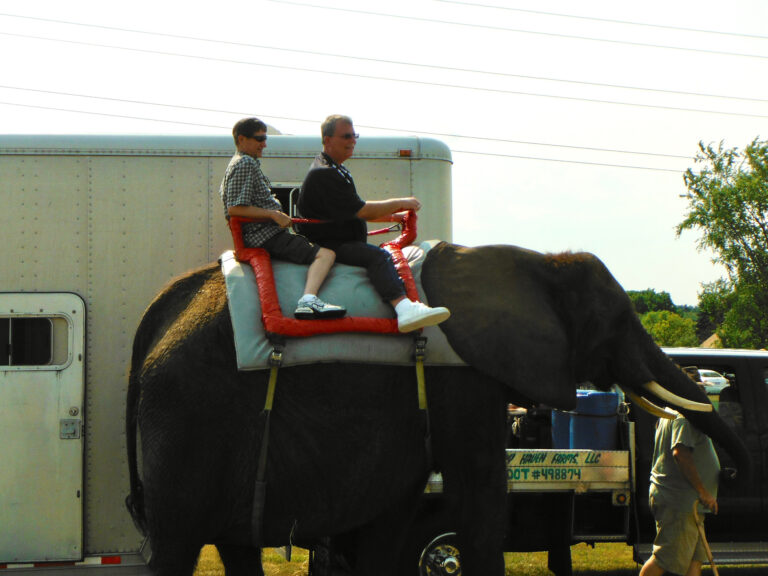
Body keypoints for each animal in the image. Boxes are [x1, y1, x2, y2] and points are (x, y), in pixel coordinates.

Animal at [125, 241, 750, 576]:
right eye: (617, 320)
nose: (733, 478)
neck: (535, 262)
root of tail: (156, 316)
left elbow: (394, 513)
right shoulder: (465, 382)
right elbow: (480, 500)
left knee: (233, 546)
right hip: (185, 418)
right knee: (177, 544)